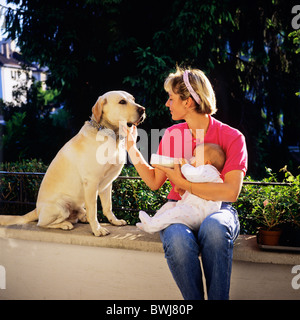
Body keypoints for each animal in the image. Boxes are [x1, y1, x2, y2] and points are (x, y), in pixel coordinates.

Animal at [0, 91, 145, 236]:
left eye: (133, 99)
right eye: (122, 102)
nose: (143, 109)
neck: (110, 135)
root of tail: (37, 209)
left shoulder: (107, 184)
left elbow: (108, 206)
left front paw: (114, 221)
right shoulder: (91, 183)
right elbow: (94, 211)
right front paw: (97, 229)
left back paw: (82, 217)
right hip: (61, 207)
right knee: (42, 223)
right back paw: (65, 224)